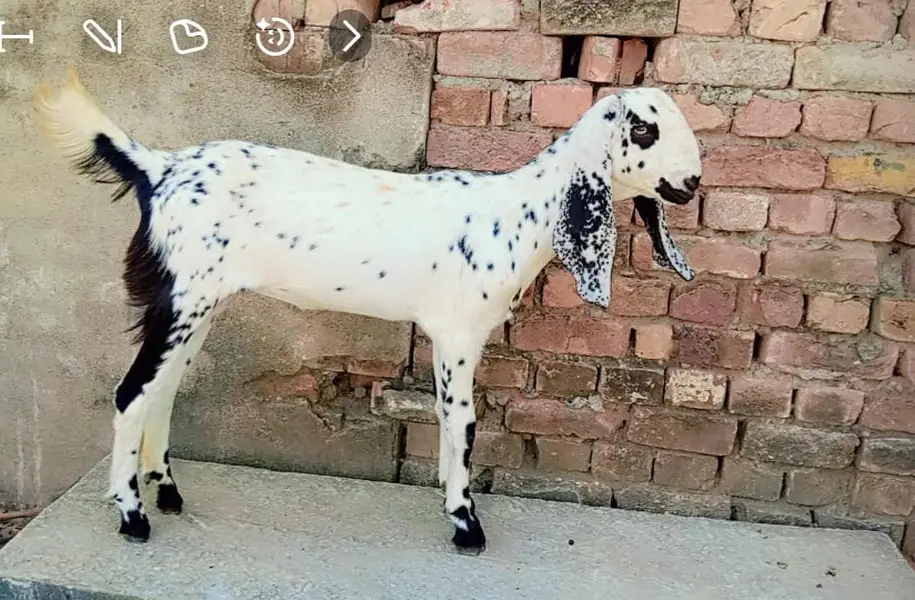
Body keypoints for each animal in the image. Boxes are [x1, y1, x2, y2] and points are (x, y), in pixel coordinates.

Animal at [32, 67, 701, 552]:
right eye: (644, 131)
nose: (692, 182)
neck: (515, 215)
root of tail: (159, 167)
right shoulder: (457, 334)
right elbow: (462, 422)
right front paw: (465, 523)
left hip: (197, 304)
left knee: (162, 389)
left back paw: (166, 492)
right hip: (180, 300)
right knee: (130, 393)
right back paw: (133, 516)